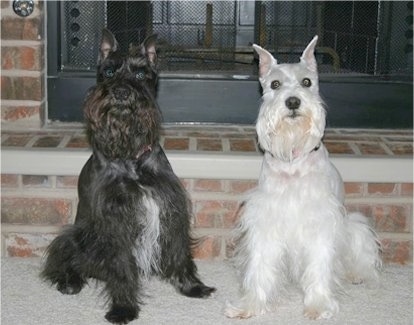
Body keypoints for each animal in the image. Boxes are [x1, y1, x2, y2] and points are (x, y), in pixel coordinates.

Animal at [41, 29, 215, 322]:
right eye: (109, 71)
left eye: (141, 73)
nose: (121, 92)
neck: (130, 157)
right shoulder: (115, 222)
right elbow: (121, 267)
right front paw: (123, 307)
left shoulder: (170, 207)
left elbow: (180, 251)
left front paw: (192, 287)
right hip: (75, 236)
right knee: (65, 259)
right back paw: (69, 280)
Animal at [226, 35, 382, 318]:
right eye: (275, 84)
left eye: (307, 82)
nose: (292, 102)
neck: (293, 159)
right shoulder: (266, 221)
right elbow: (260, 265)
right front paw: (250, 305)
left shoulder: (320, 223)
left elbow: (320, 265)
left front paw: (318, 305)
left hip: (354, 226)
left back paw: (357, 274)